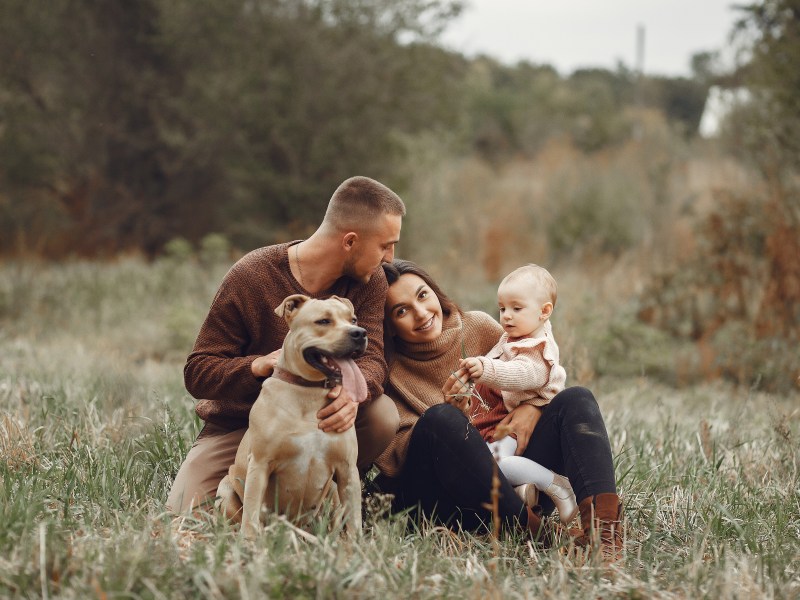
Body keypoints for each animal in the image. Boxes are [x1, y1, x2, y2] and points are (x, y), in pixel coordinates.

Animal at [217, 292, 370, 536]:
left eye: (353, 319)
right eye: (323, 321)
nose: (360, 333)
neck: (309, 392)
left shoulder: (347, 469)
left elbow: (354, 519)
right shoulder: (260, 464)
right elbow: (251, 513)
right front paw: (249, 541)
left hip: (334, 491)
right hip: (225, 488)